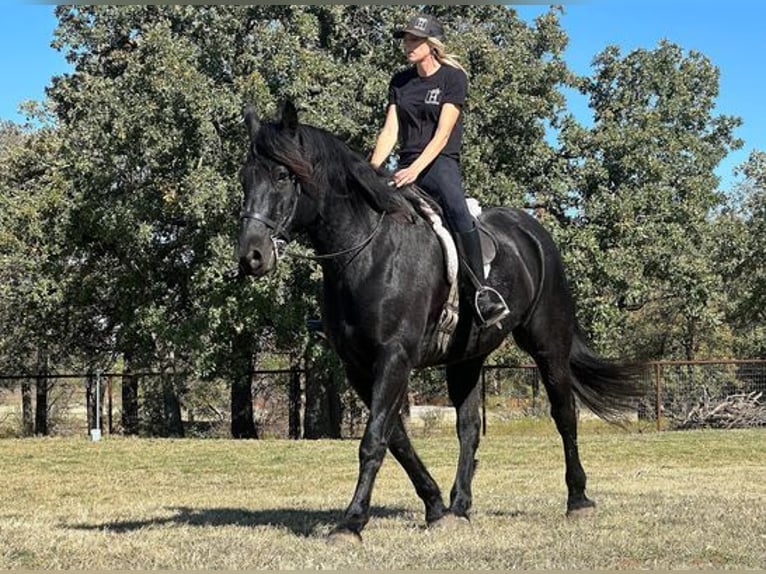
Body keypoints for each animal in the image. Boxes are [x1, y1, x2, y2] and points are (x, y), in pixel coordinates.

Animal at [237, 102, 644, 544]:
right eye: (245, 178)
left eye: (282, 176)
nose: (251, 256)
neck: (367, 251)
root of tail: (533, 230)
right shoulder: (359, 366)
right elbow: (397, 440)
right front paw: (433, 506)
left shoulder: (394, 357)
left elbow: (374, 440)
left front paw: (351, 523)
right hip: (466, 358)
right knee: (468, 428)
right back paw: (459, 506)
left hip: (548, 343)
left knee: (564, 414)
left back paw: (579, 500)